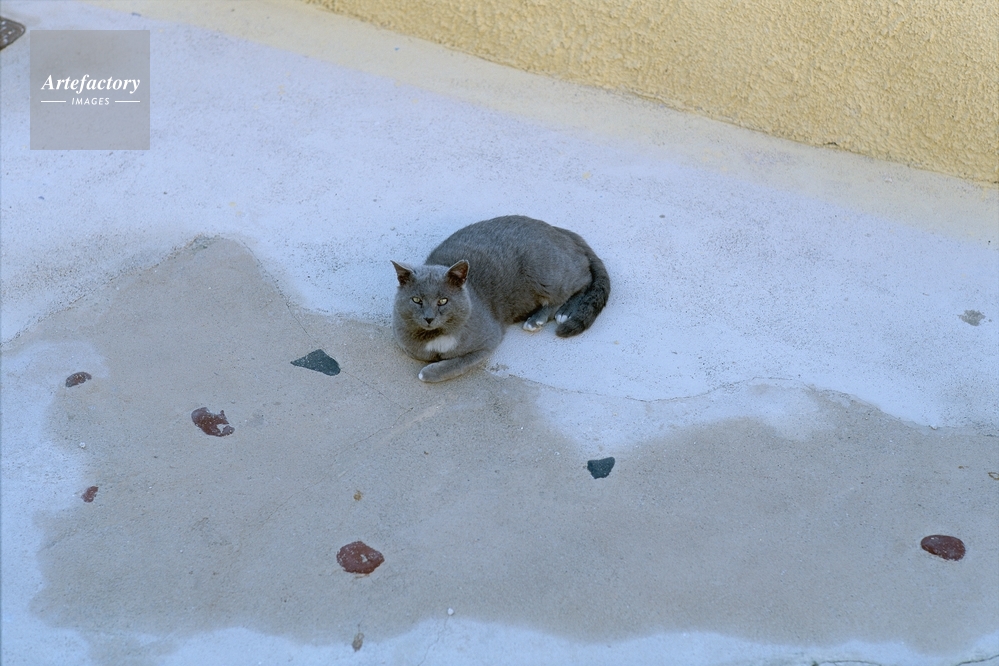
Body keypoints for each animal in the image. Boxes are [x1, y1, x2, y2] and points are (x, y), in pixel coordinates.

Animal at [391, 215, 610, 382]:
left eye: (443, 301)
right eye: (417, 300)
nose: (429, 318)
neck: (435, 336)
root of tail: (557, 229)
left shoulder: (488, 340)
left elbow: (458, 362)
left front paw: (430, 372)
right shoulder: (404, 340)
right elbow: (420, 353)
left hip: (545, 274)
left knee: (583, 279)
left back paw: (551, 316)